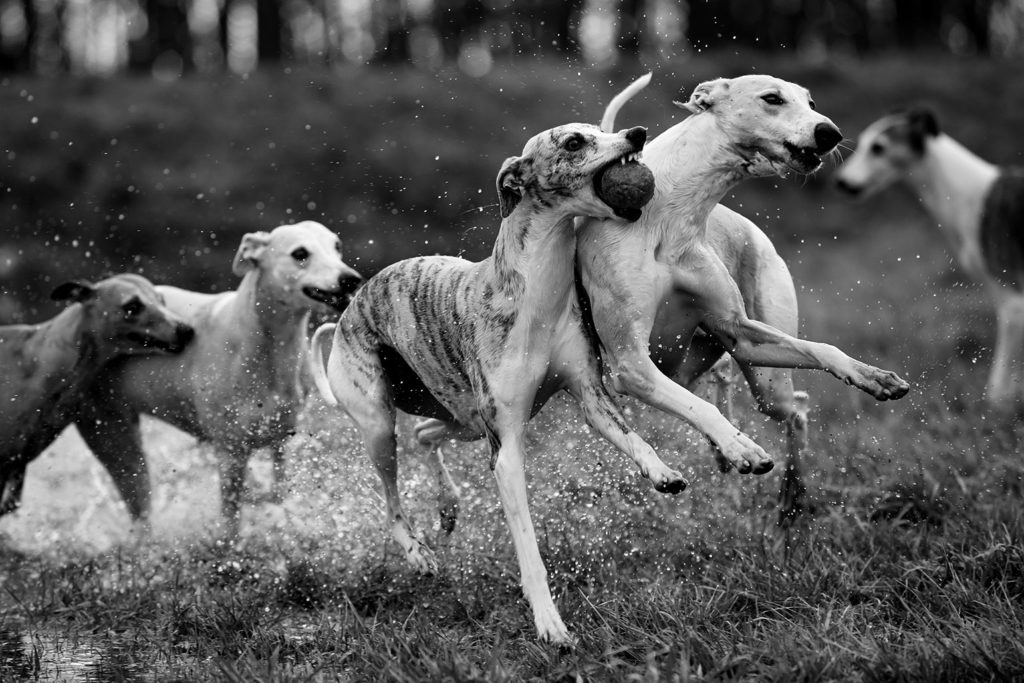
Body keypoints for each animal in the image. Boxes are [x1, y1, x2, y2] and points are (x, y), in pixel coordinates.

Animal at [75, 222, 364, 536]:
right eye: (300, 253)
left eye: (337, 246)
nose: (351, 279)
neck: (263, 345)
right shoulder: (230, 452)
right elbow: (230, 522)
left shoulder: (279, 440)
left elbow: (277, 491)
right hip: (115, 439)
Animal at [577, 76, 913, 507]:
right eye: (772, 98)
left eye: (811, 103)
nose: (831, 133)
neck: (671, 213)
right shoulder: (631, 363)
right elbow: (701, 409)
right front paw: (741, 447)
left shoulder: (741, 334)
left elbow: (823, 349)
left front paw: (871, 376)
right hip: (680, 368)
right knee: (714, 393)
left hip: (765, 381)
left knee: (795, 407)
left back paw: (793, 493)